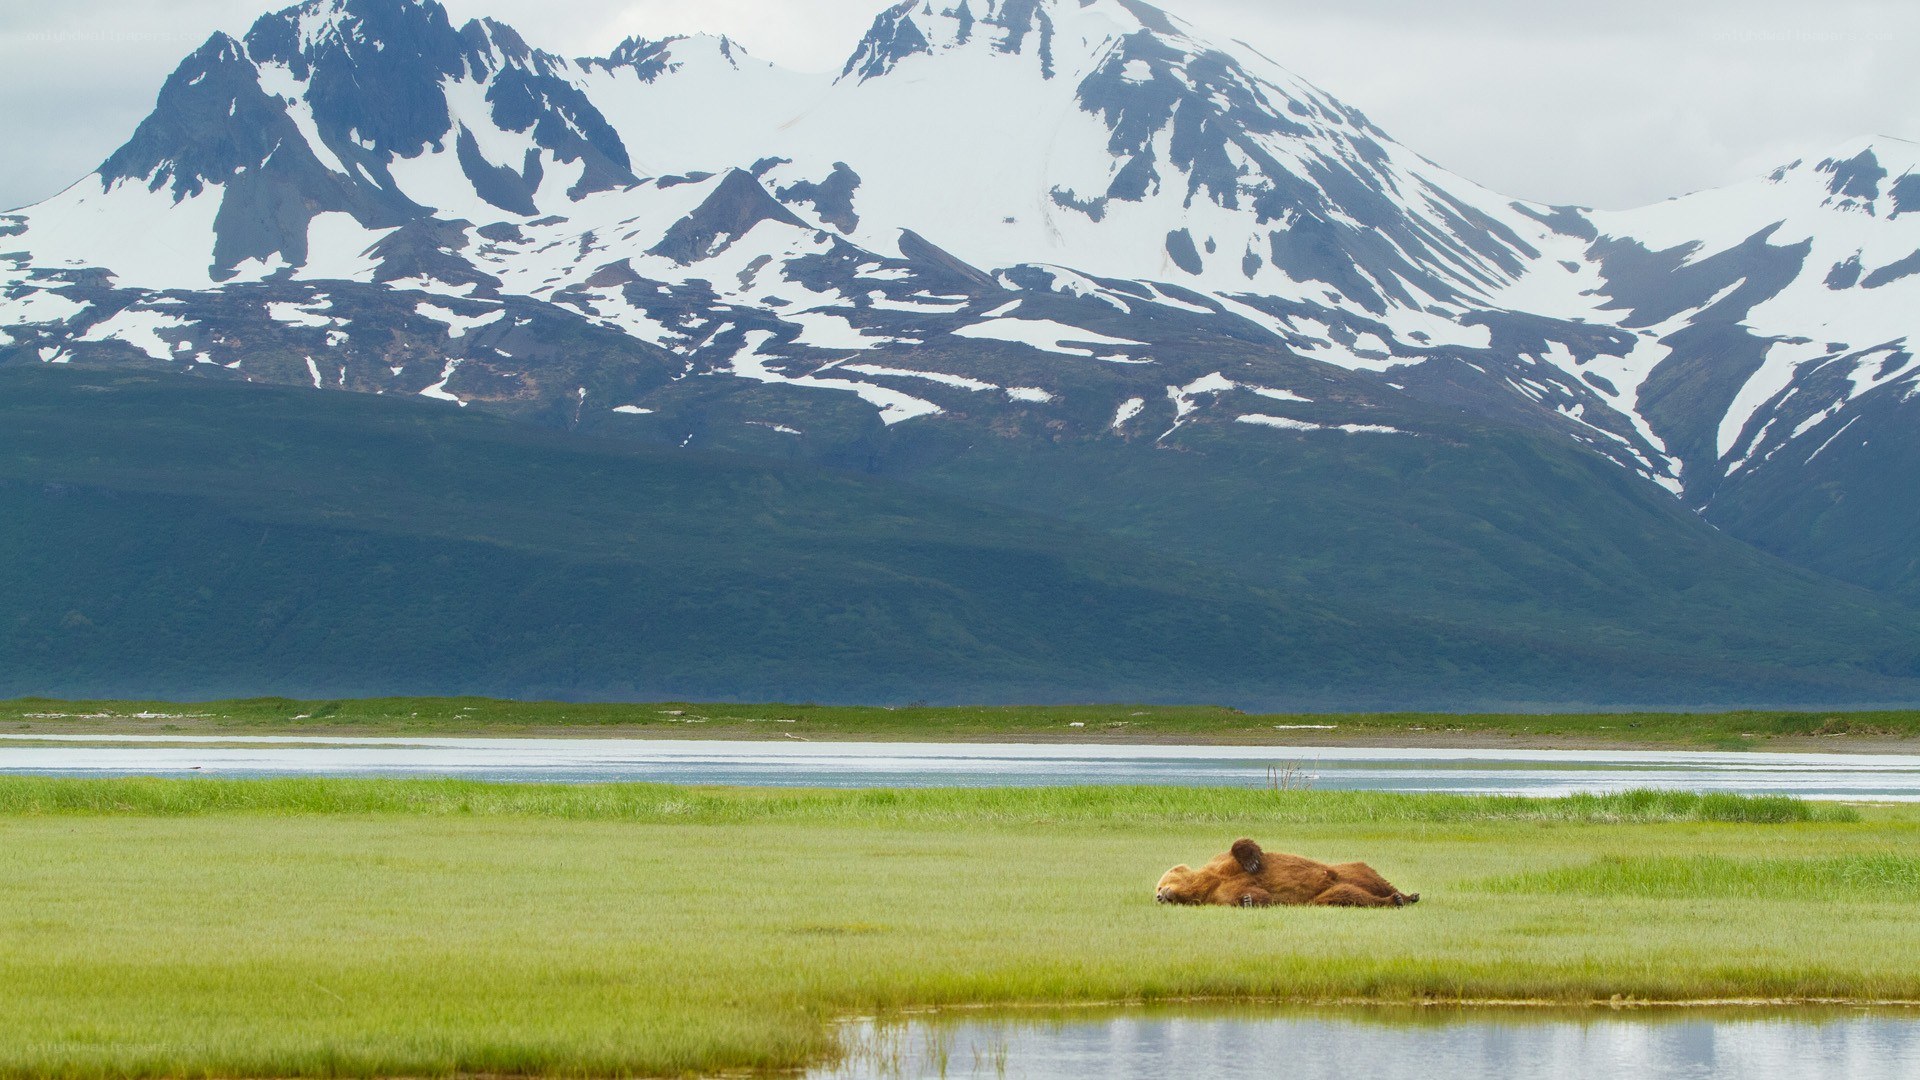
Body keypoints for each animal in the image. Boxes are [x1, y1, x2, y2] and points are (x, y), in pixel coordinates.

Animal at [1155, 838, 1419, 908]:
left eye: (1159, 884)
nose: (1159, 896)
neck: (1207, 883)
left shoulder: (1221, 866)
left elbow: (1239, 847)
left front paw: (1252, 862)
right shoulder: (1221, 894)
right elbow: (1251, 894)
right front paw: (1250, 900)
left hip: (1349, 867)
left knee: (1375, 878)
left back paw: (1408, 895)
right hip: (1326, 894)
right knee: (1351, 896)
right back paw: (1395, 900)